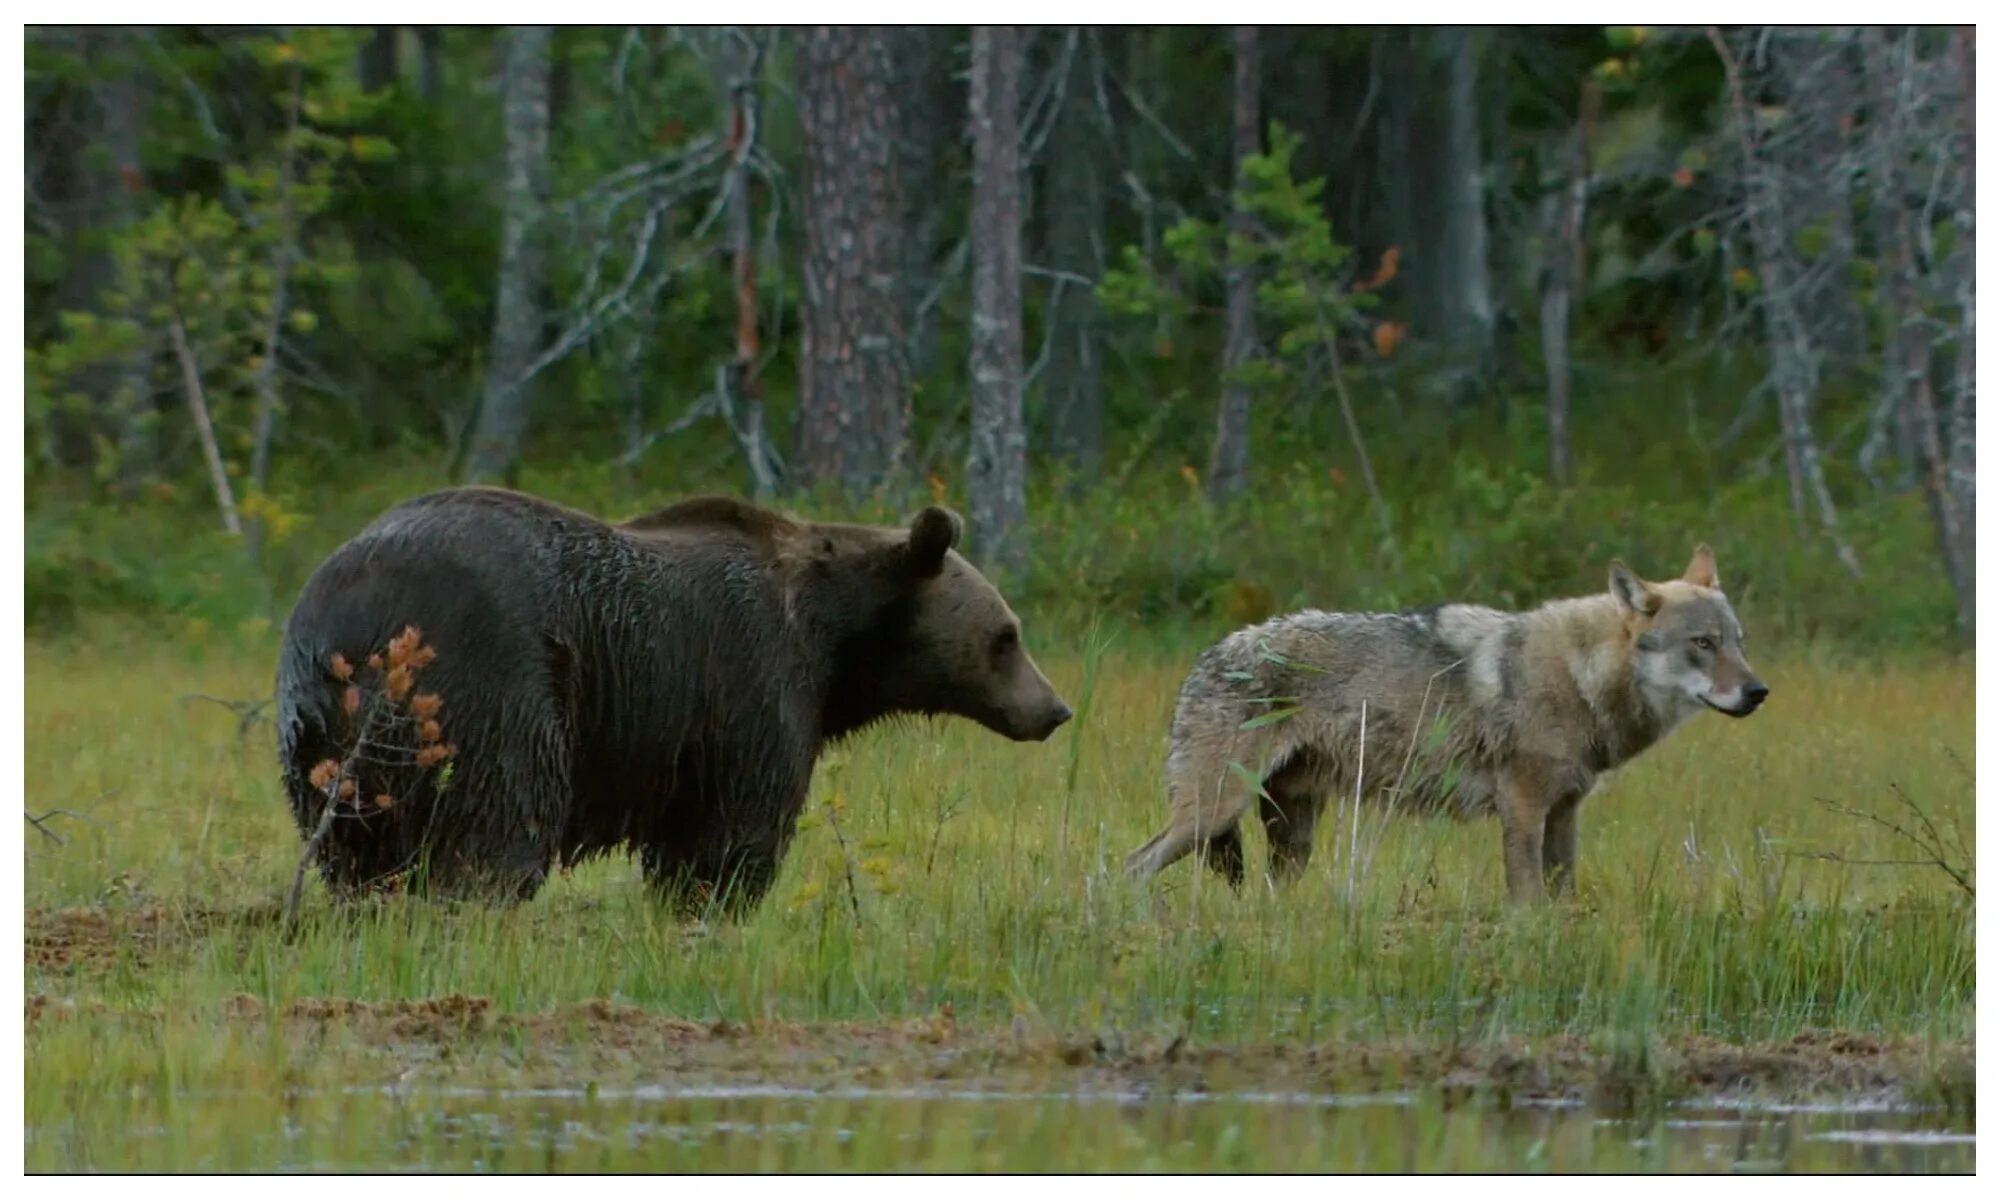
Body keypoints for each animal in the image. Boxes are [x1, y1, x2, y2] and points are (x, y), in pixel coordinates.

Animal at [278, 482, 1080, 916]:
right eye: (1006, 636)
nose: (1054, 709)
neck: (834, 639)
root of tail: (348, 624)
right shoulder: (750, 675)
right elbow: (733, 827)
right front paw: (713, 903)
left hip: (320, 735)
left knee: (353, 847)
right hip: (490, 677)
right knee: (504, 812)